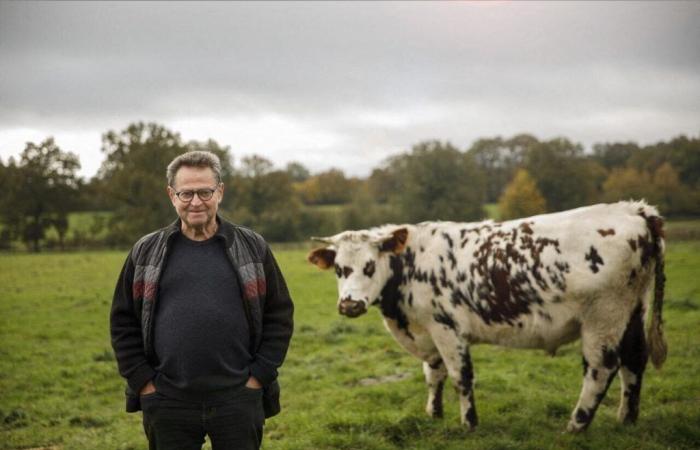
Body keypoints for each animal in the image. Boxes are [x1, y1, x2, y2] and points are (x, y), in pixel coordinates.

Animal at [308, 201, 668, 432]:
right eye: (339, 268)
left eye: (370, 266)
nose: (350, 305)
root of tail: (634, 209)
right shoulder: (428, 331)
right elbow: (433, 373)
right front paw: (433, 413)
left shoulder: (445, 327)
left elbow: (460, 376)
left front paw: (469, 423)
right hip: (633, 311)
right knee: (634, 360)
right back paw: (626, 419)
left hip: (603, 316)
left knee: (601, 367)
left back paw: (576, 425)